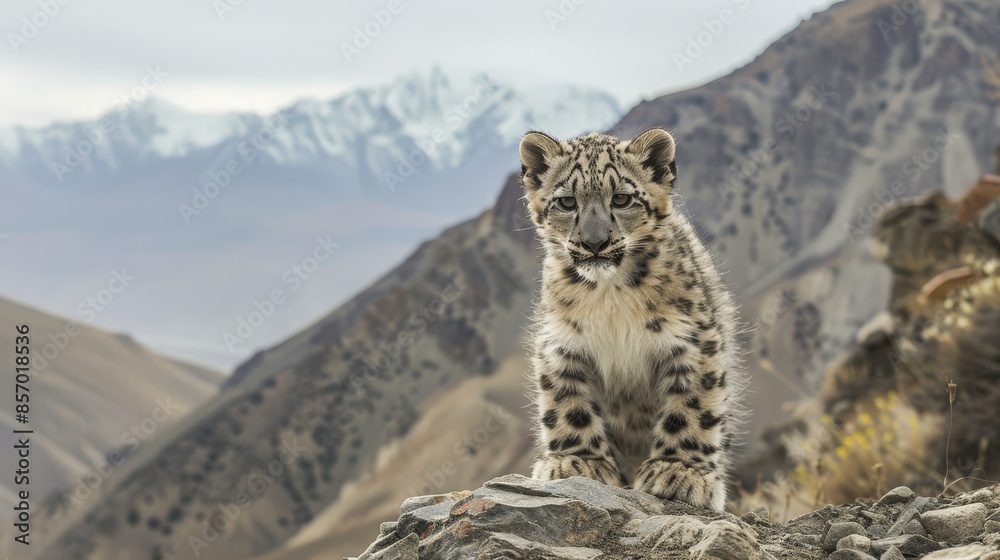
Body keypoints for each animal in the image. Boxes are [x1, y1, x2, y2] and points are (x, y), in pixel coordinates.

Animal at [518, 128, 746, 511]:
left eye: (622, 199)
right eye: (567, 202)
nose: (594, 242)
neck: (610, 295)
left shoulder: (693, 341)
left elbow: (691, 407)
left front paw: (679, 472)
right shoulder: (562, 343)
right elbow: (567, 403)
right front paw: (577, 462)